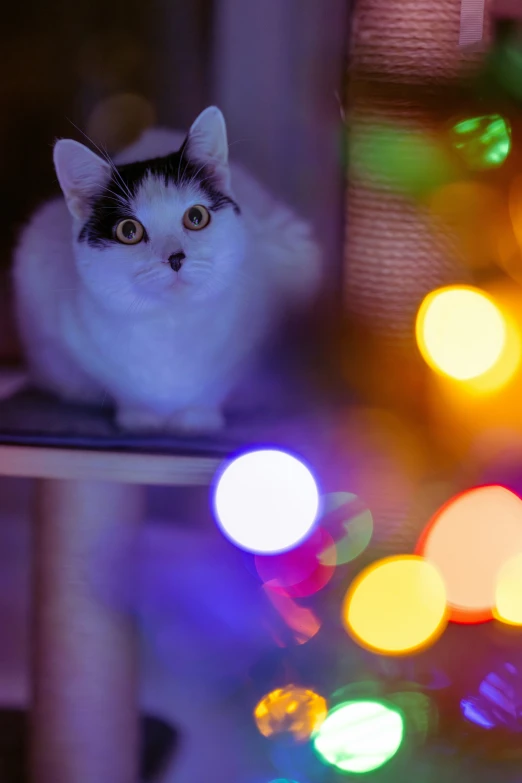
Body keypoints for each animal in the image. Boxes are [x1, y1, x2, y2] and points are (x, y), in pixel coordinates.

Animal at [12, 106, 318, 432]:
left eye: (196, 217)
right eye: (128, 230)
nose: (175, 257)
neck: (172, 324)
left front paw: (198, 416)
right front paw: (141, 415)